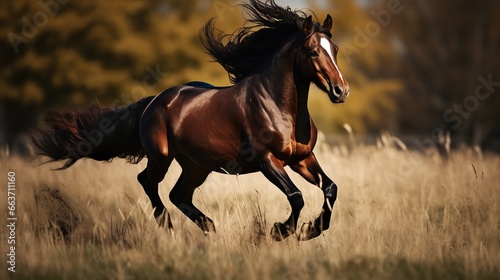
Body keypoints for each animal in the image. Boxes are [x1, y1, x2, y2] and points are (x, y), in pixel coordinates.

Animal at [28, 0, 348, 241]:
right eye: (312, 51)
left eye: (335, 50)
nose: (340, 91)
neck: (278, 106)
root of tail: (155, 100)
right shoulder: (267, 160)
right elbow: (296, 196)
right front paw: (281, 231)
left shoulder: (301, 158)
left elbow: (330, 189)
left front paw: (311, 230)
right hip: (161, 157)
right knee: (147, 182)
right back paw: (168, 227)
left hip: (197, 166)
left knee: (177, 194)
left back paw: (209, 226)